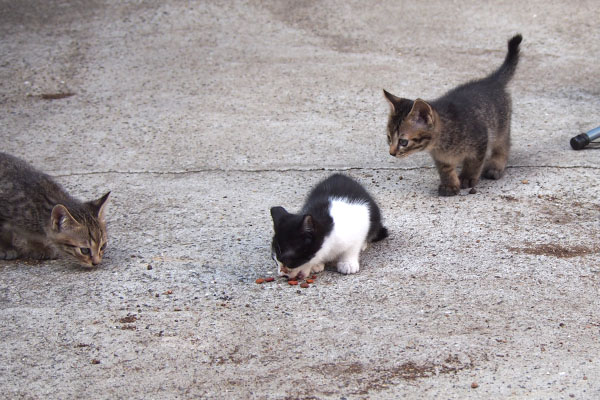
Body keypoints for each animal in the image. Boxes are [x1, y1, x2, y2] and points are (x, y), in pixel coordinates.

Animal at [384, 34, 520, 195]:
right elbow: (445, 169)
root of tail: (490, 81)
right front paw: (449, 184)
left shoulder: (481, 139)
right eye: (388, 137)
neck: (441, 143)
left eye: (403, 142)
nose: (391, 153)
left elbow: (474, 162)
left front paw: (467, 177)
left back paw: (496, 165)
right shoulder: (441, 158)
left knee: (503, 144)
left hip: (500, 126)